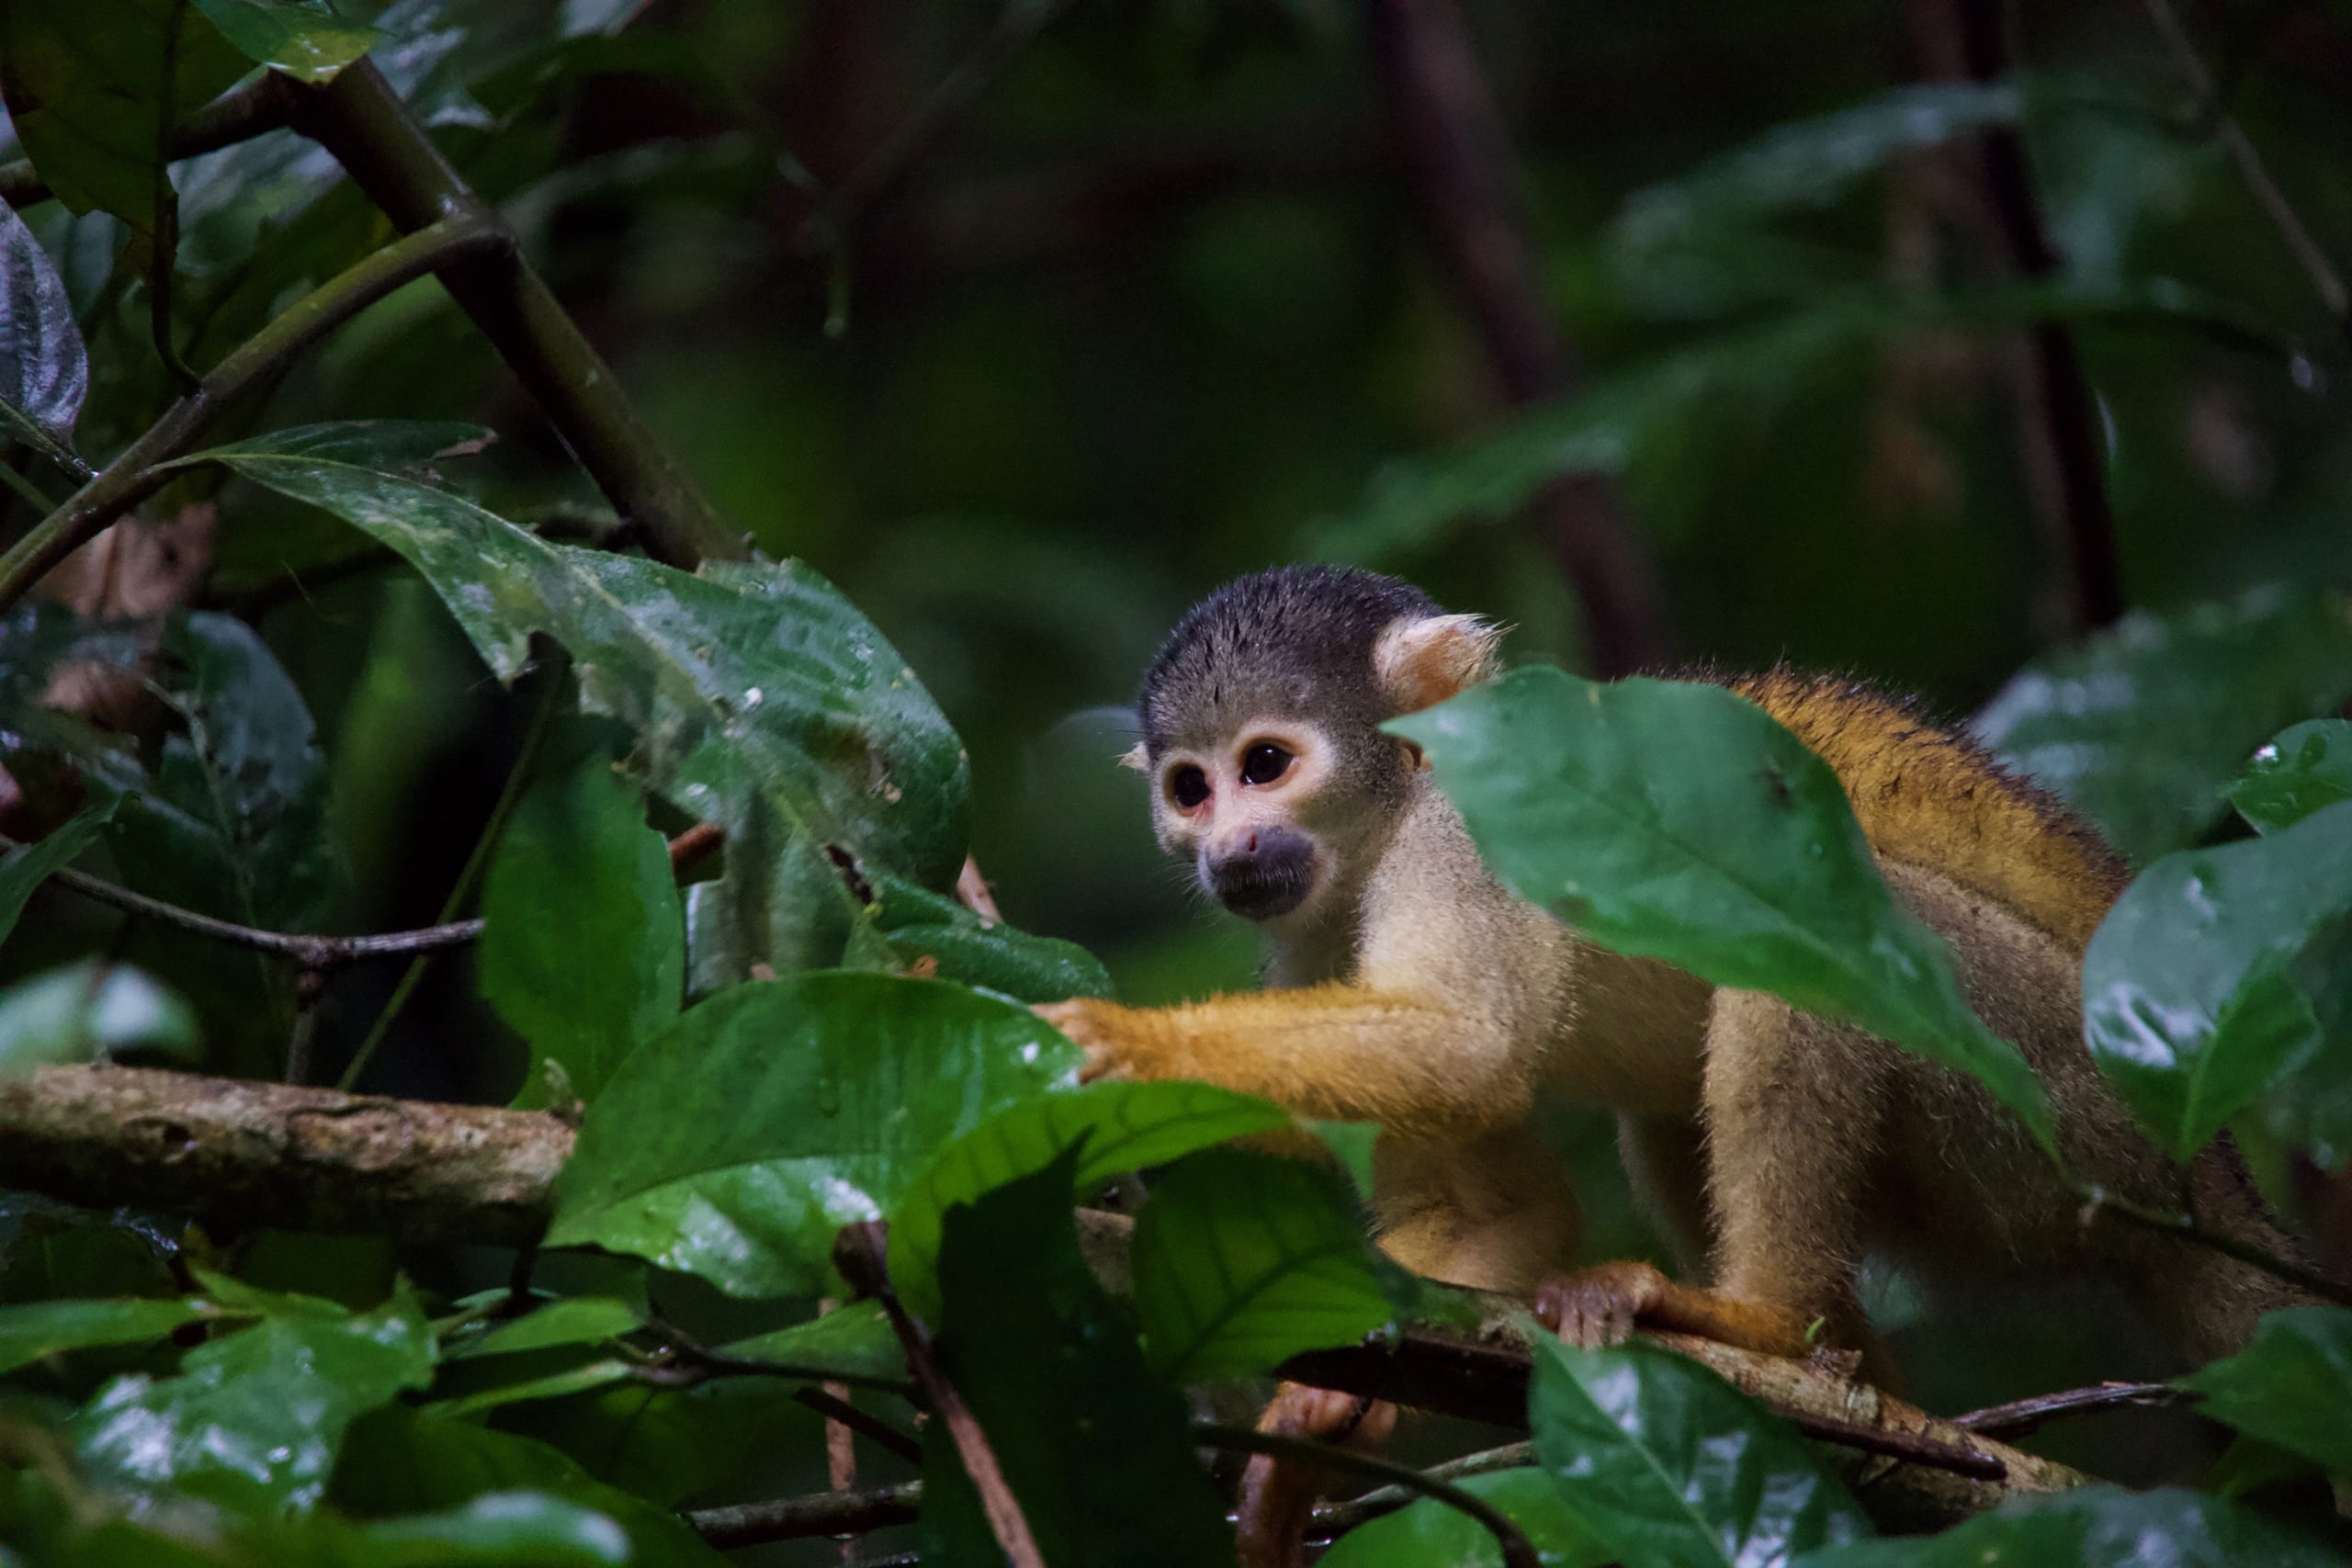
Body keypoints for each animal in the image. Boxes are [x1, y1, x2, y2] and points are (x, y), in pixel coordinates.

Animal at [1035, 564, 2318, 1563]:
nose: (1229, 849)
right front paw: (1332, 1406)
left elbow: (1467, 1049)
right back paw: (1860, 1396)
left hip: (2060, 1100)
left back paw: (1766, 1321)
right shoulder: (1302, 930)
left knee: (1824, 950)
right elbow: (1503, 1202)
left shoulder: (1467, 835)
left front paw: (1113, 1042)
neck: (1389, 820)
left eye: (1265, 763)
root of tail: (2215, 1186)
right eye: (1190, 788)